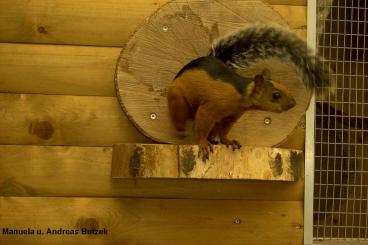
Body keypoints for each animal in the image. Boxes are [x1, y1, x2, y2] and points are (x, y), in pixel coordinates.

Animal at [167, 24, 334, 161]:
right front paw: (202, 144)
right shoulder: (209, 108)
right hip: (178, 99)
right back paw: (182, 132)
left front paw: (228, 141)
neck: (240, 95)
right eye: (276, 95)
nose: (293, 103)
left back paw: (213, 140)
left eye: (284, 85)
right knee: (179, 115)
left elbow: (224, 131)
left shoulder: (231, 116)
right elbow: (202, 124)